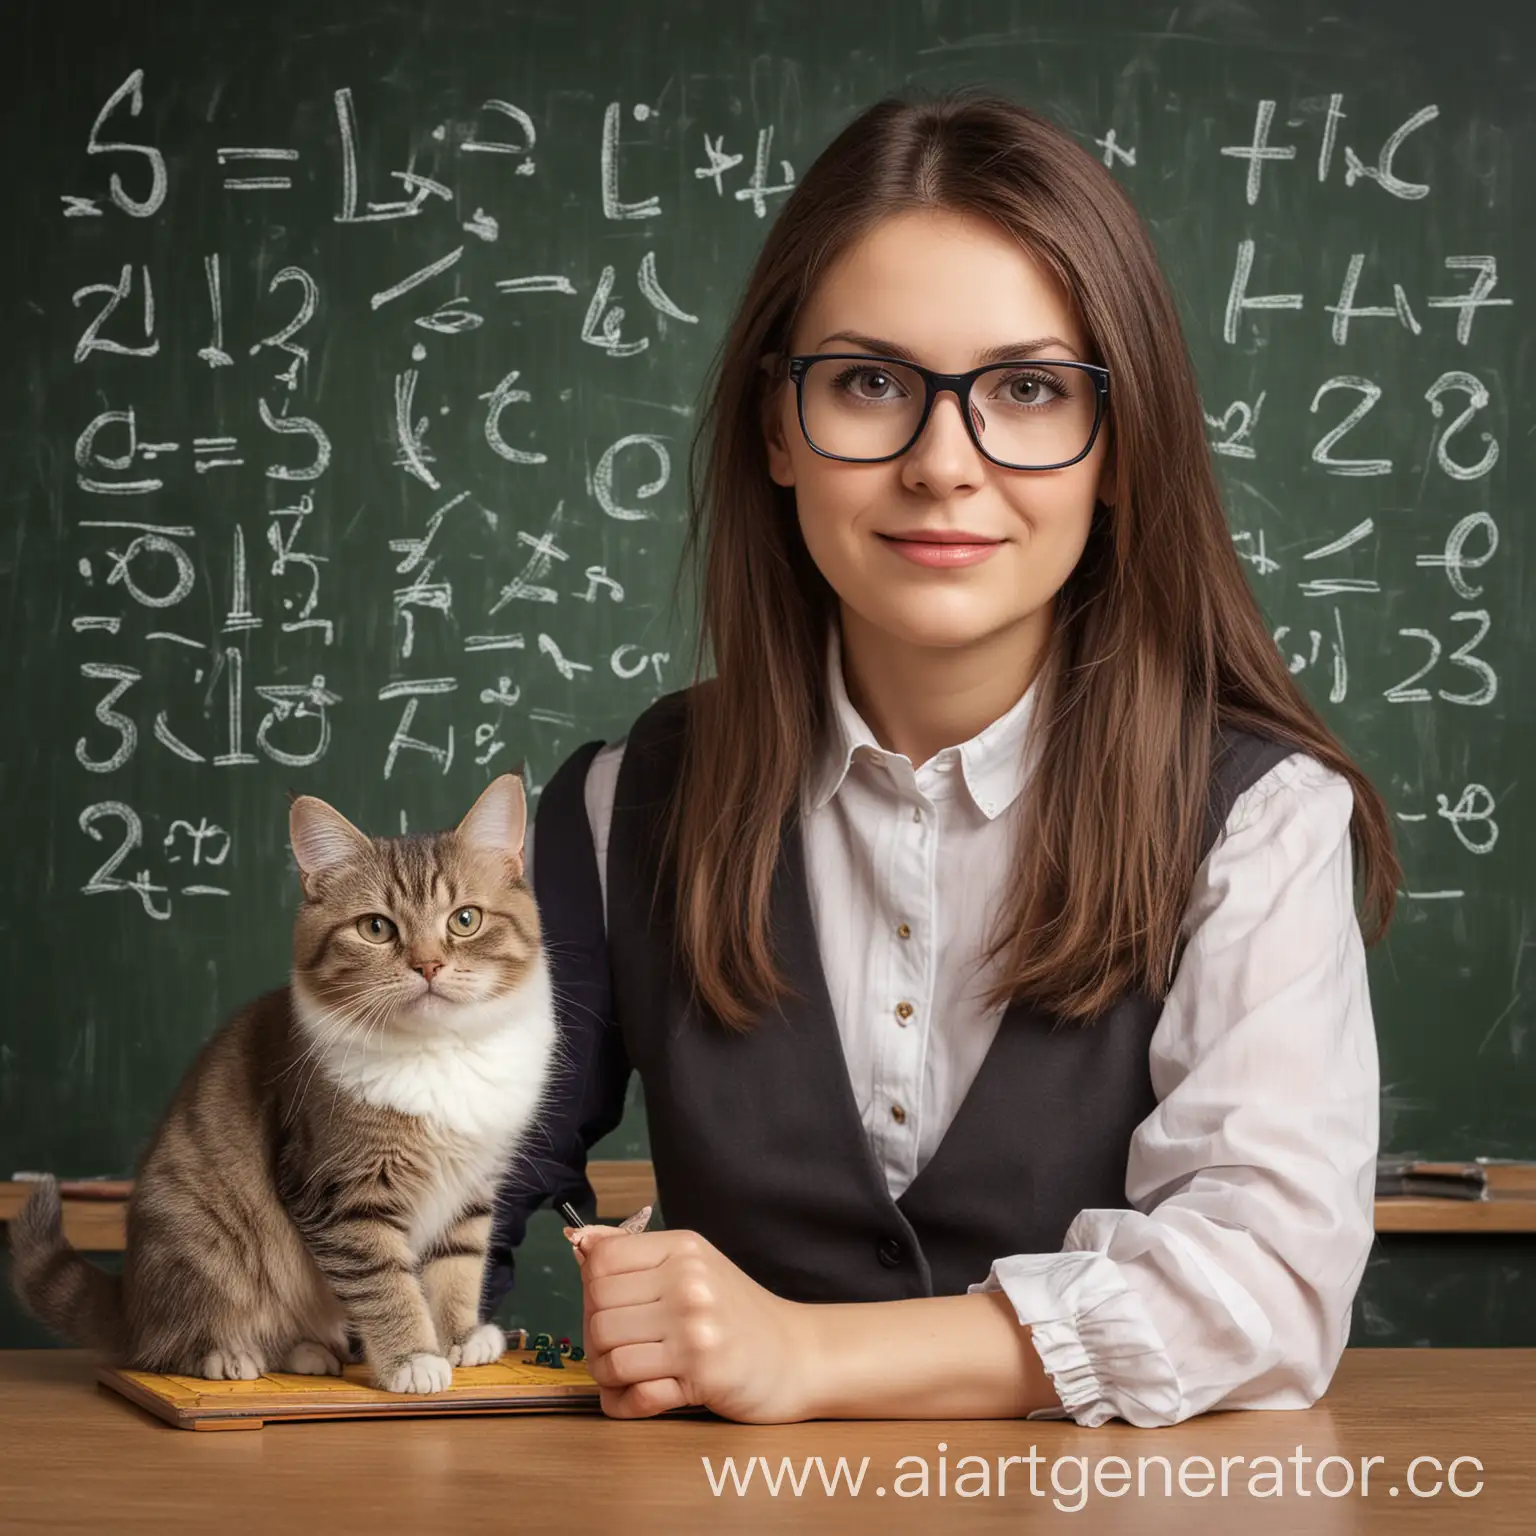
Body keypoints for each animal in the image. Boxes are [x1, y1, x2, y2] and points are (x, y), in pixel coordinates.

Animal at [6, 780, 559, 1394]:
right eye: (376, 928)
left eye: (465, 920)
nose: (428, 965)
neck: (437, 1052)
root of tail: (129, 1302)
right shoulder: (340, 1190)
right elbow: (386, 1283)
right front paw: (413, 1357)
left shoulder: (472, 1184)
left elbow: (458, 1265)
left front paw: (459, 1337)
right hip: (204, 1247)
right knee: (168, 1343)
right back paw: (226, 1355)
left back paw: (308, 1351)